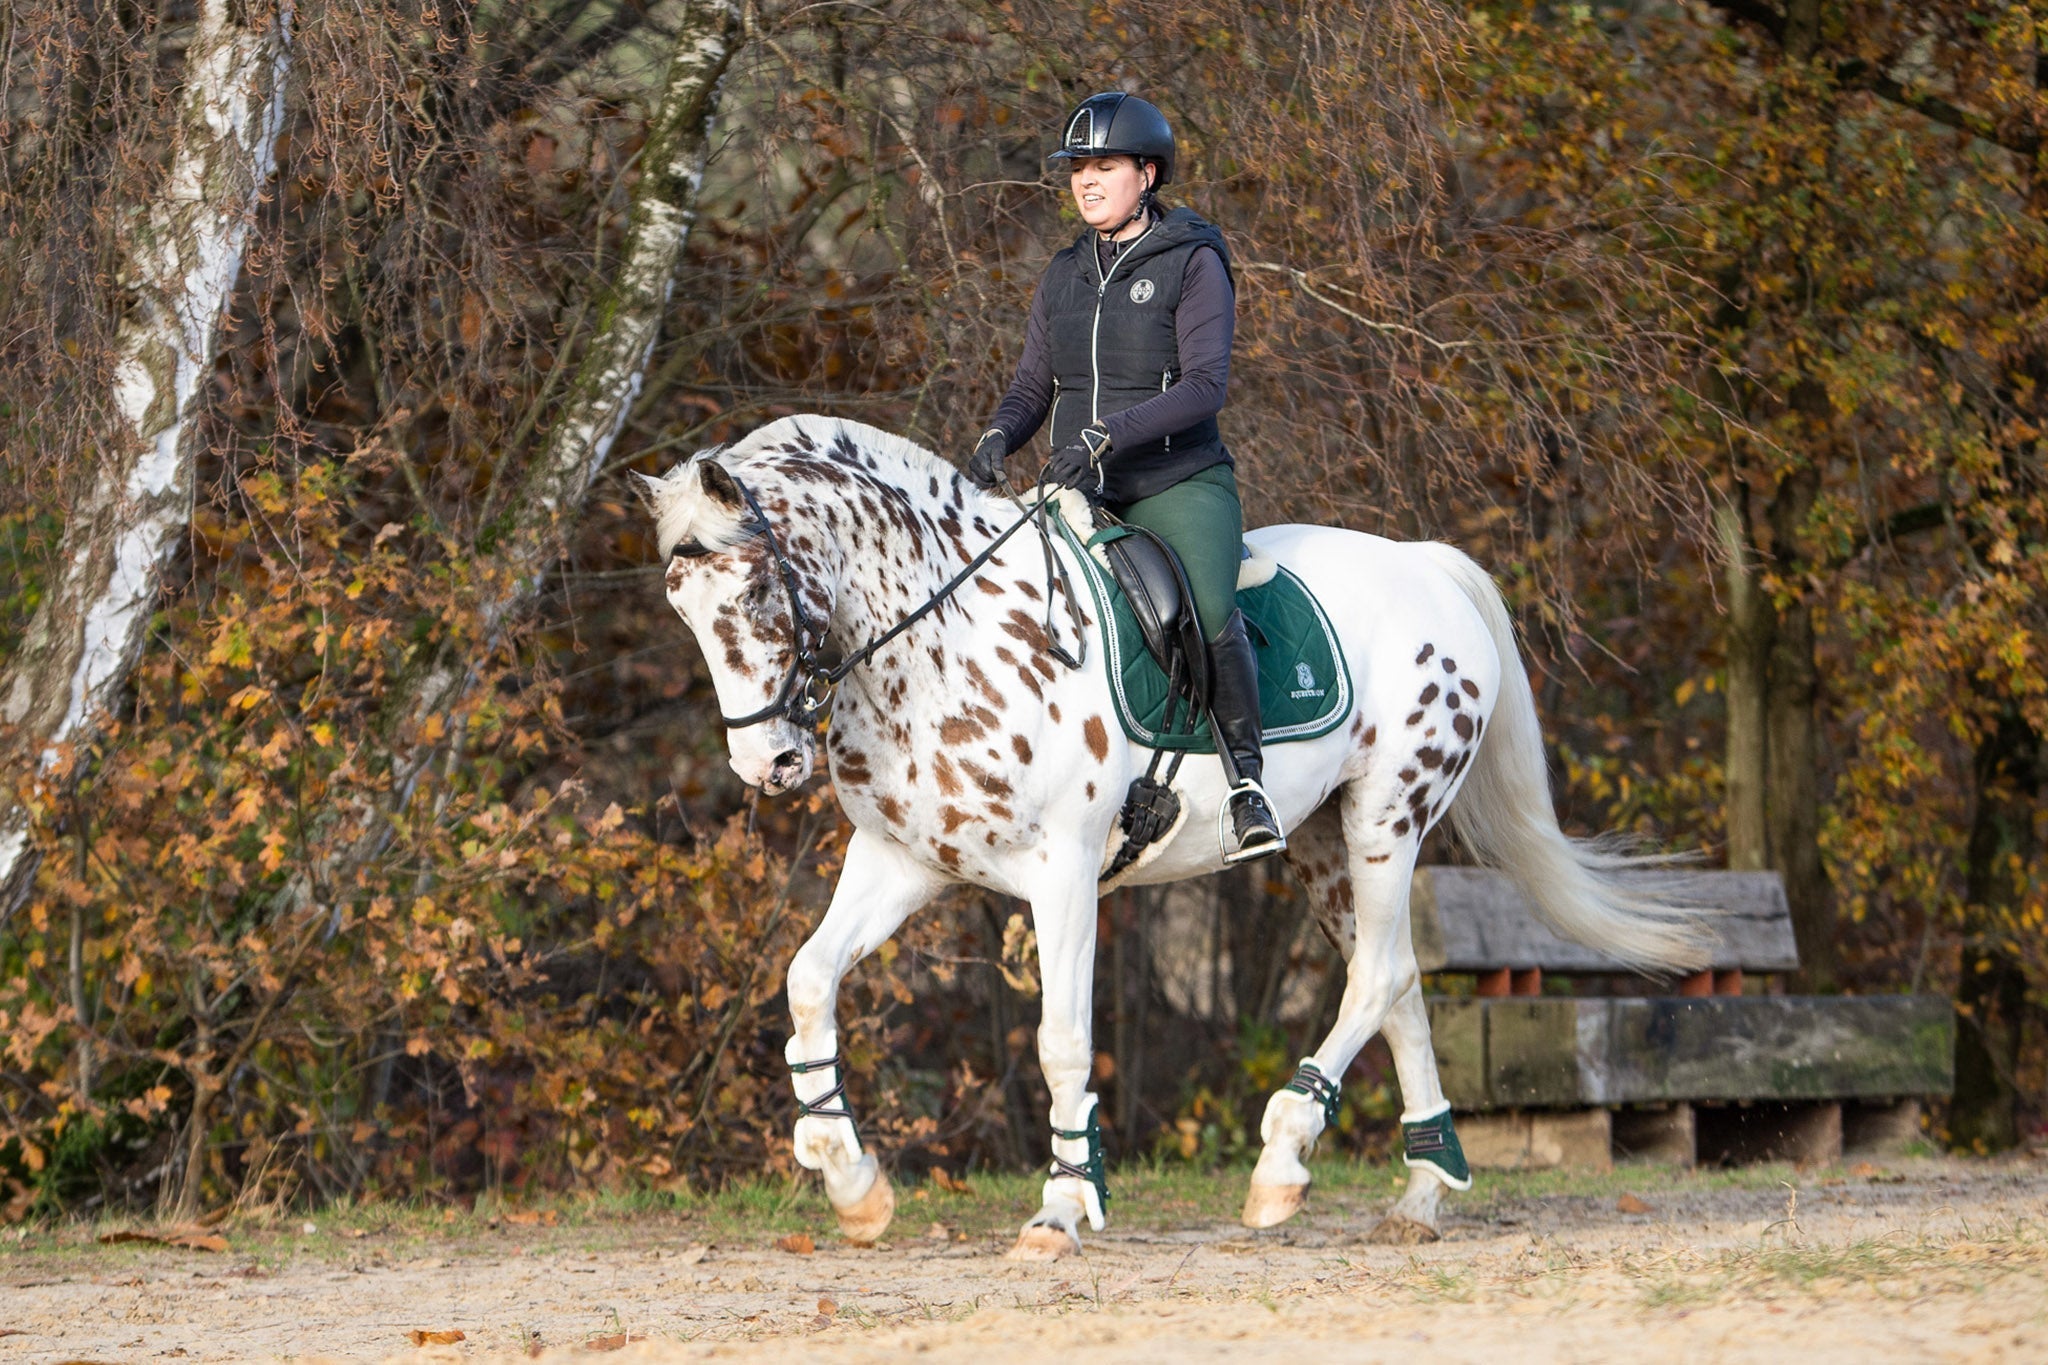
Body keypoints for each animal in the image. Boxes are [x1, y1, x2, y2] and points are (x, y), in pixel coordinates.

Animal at [643, 413, 1712, 1260]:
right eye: (680, 607)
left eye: (752, 595)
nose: (769, 764)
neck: (943, 642)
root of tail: (1427, 566)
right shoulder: (903, 862)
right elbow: (808, 978)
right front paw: (849, 1178)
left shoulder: (1063, 873)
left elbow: (1063, 1041)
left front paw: (1063, 1205)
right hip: (1324, 845)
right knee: (1399, 982)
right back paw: (1419, 1193)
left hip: (1389, 815)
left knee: (1377, 976)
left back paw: (1282, 1159)